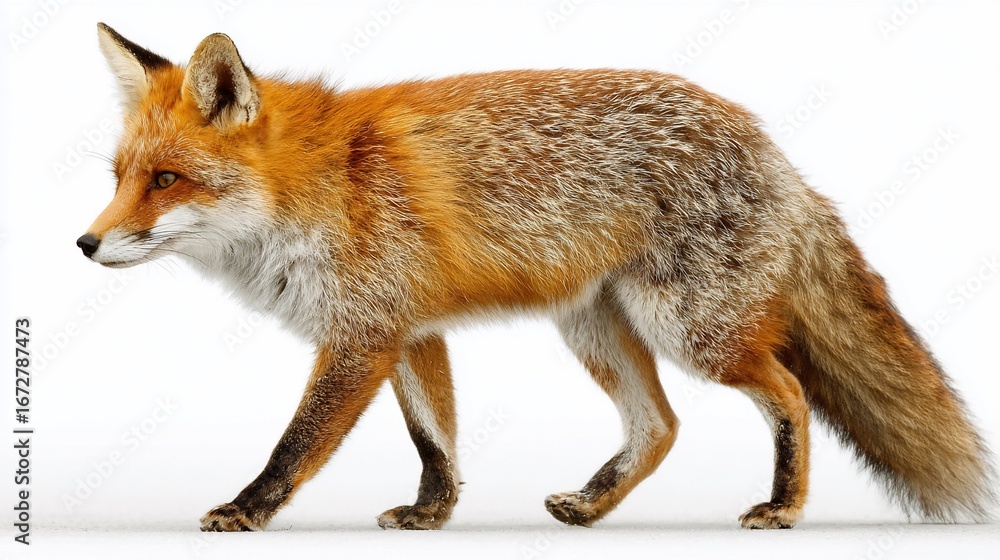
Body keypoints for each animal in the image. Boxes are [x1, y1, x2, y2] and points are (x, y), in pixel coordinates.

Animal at [77, 23, 995, 532]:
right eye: (119, 176)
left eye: (166, 180)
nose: (84, 244)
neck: (317, 187)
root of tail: (772, 148)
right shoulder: (410, 331)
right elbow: (436, 441)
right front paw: (432, 514)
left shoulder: (362, 335)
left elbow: (296, 443)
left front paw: (248, 509)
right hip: (594, 330)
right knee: (660, 426)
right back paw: (591, 507)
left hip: (692, 331)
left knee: (791, 394)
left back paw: (784, 507)